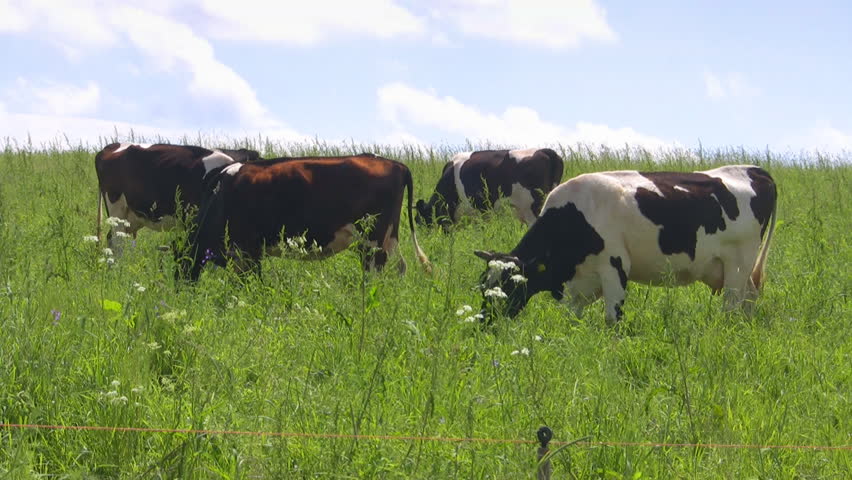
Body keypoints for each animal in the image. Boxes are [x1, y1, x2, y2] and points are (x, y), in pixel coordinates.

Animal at [176, 153, 431, 281]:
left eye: (179, 263)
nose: (180, 289)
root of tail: (396, 164)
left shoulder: (248, 250)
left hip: (372, 239)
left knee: (374, 271)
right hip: (388, 236)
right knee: (399, 267)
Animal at [473, 165, 777, 325]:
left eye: (509, 286)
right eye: (483, 285)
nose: (485, 322)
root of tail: (752, 169)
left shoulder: (614, 264)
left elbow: (612, 318)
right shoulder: (578, 283)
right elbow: (573, 317)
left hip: (738, 264)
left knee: (733, 306)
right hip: (739, 270)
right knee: (749, 298)